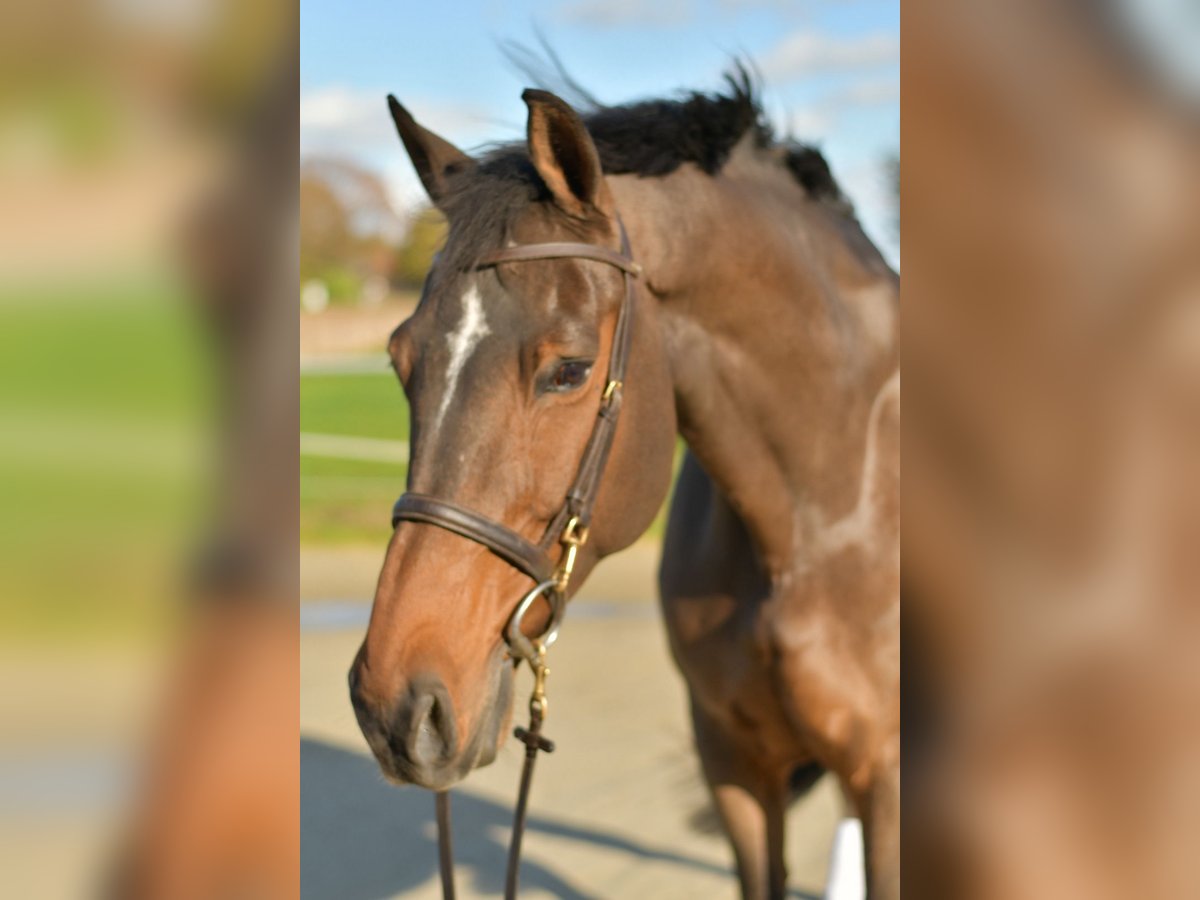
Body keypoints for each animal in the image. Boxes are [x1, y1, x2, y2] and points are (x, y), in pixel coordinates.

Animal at [348, 70, 899, 899]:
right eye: (398, 359)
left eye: (570, 370)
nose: (395, 707)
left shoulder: (890, 782)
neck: (828, 515)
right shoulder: (735, 767)